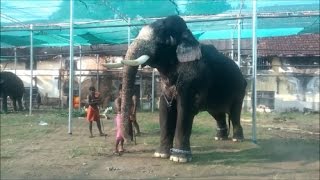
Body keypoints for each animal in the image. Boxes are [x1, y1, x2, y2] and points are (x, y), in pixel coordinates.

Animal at [104, 14, 246, 162]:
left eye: (161, 40)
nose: (129, 140)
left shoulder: (193, 78)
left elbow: (185, 109)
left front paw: (179, 158)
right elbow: (164, 108)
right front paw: (161, 154)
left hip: (239, 89)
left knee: (234, 112)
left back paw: (237, 139)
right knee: (217, 112)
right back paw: (220, 137)